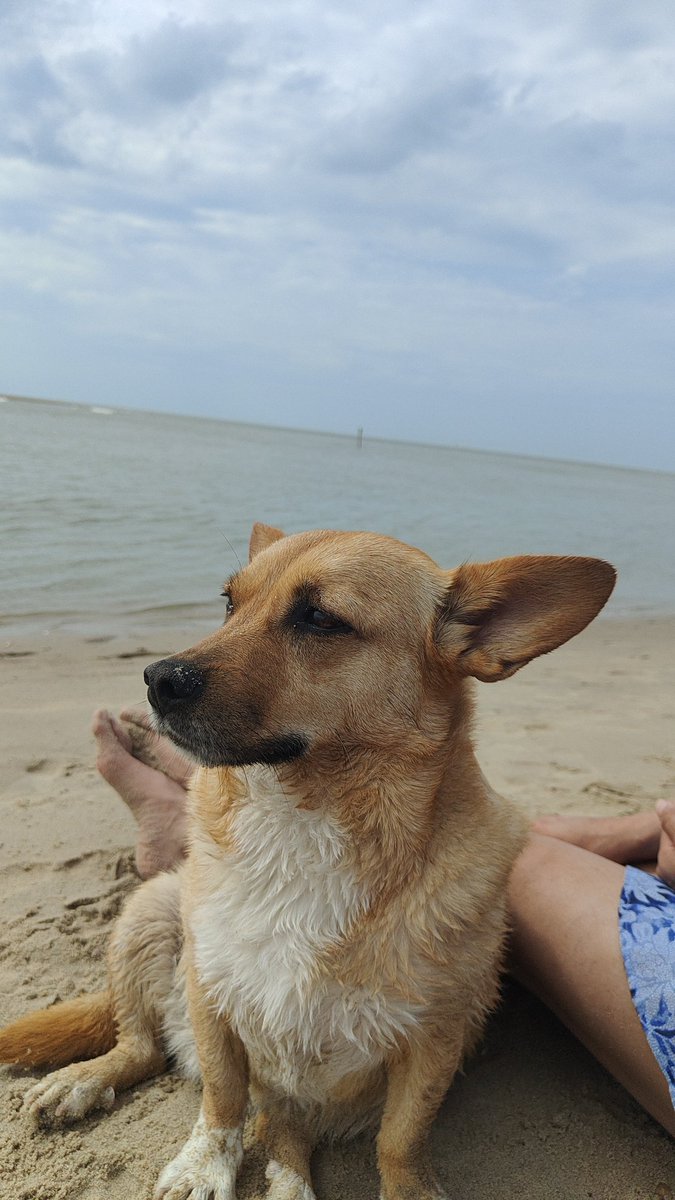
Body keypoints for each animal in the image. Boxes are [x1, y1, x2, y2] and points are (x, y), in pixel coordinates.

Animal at [0, 525, 614, 1200]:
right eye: (228, 603)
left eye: (319, 618)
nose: (156, 679)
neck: (305, 818)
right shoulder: (210, 992)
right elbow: (221, 1098)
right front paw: (203, 1167)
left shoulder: (435, 1037)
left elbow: (402, 1138)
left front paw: (408, 1187)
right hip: (150, 913)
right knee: (142, 1046)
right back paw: (81, 1081)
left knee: (281, 1129)